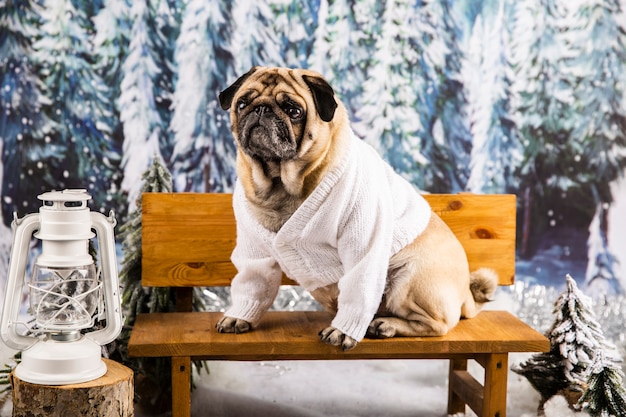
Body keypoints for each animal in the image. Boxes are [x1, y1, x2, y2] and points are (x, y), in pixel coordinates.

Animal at [212, 66, 494, 350]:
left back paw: (386, 325)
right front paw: (239, 316)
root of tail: (465, 294)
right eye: (242, 104)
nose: (261, 109)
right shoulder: (254, 249)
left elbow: (359, 289)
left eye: (293, 111)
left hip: (410, 281)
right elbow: (253, 282)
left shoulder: (362, 244)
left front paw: (343, 331)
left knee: (438, 325)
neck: (281, 182)